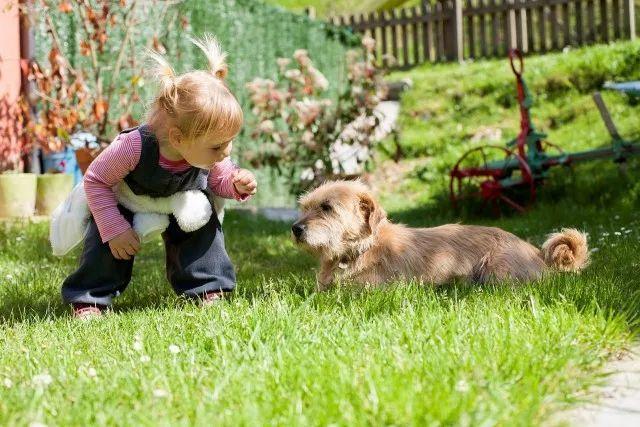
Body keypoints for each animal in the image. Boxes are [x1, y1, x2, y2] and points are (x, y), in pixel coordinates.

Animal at [292, 181, 588, 290]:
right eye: (305, 206)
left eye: (327, 207)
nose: (295, 228)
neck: (361, 249)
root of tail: (539, 254)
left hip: (497, 271)